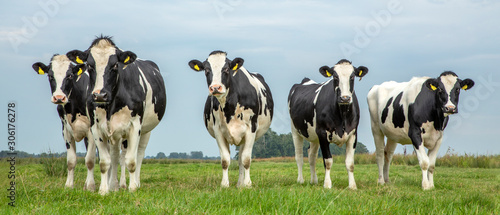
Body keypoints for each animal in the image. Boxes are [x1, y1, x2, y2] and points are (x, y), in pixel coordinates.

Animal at [31, 54, 96, 191]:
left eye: (70, 75)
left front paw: (91, 187)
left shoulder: (92, 130)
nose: (59, 98)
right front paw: (69, 185)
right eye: (50, 76)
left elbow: (90, 160)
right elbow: (71, 161)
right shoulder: (65, 130)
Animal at [65, 36, 167, 195]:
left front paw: (132, 188)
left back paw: (135, 183)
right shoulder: (96, 128)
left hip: (146, 130)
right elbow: (104, 161)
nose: (100, 95)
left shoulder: (135, 126)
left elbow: (131, 160)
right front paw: (104, 190)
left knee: (139, 154)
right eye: (90, 65)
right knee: (114, 156)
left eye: (114, 65)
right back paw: (114, 185)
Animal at [188, 51, 274, 187]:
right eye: (206, 70)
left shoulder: (251, 129)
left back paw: (241, 184)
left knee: (241, 159)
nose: (215, 87)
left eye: (226, 69)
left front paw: (248, 184)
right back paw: (239, 184)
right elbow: (225, 160)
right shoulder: (218, 130)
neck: (230, 107)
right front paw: (224, 184)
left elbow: (246, 159)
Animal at [290, 59, 368, 189]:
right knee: (299, 156)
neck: (342, 115)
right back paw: (300, 180)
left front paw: (352, 186)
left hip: (314, 136)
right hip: (295, 130)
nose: (345, 98)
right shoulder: (322, 133)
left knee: (311, 156)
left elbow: (350, 163)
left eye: (352, 76)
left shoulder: (353, 134)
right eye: (335, 76)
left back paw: (314, 180)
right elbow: (328, 161)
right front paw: (327, 184)